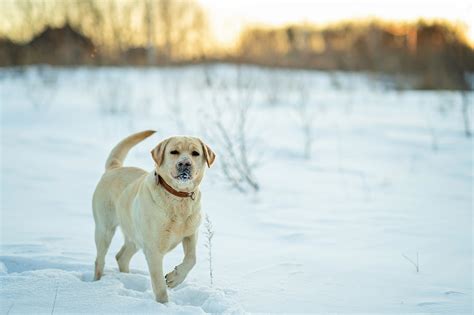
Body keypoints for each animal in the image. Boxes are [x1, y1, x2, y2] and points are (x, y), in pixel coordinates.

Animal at [92, 131, 215, 304]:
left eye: (195, 153)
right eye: (174, 152)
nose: (184, 164)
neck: (178, 198)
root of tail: (114, 168)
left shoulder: (191, 234)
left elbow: (192, 258)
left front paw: (174, 278)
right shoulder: (153, 250)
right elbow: (159, 286)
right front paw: (164, 305)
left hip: (135, 235)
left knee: (121, 257)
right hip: (105, 229)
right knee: (100, 260)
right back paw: (96, 283)